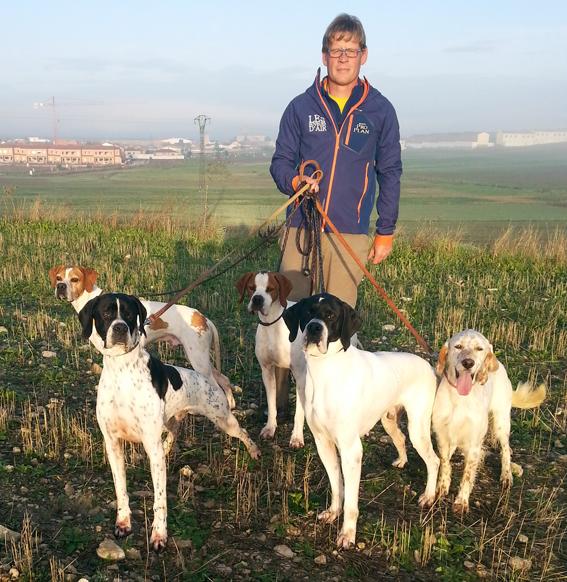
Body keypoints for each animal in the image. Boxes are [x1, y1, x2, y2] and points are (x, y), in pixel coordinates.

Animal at [48, 266, 235, 410]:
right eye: (58, 278)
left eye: (75, 279)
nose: (60, 286)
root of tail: (204, 318)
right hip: (200, 358)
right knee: (223, 379)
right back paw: (230, 404)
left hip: (198, 359)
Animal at [77, 294, 260, 556]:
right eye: (105, 313)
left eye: (129, 314)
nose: (120, 328)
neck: (122, 372)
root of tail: (206, 380)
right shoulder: (113, 444)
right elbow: (121, 489)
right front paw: (123, 523)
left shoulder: (150, 445)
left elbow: (160, 501)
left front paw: (159, 536)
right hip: (169, 422)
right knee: (174, 432)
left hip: (223, 420)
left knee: (242, 431)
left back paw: (254, 451)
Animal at [286, 296, 442, 552]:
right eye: (308, 312)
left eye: (331, 316)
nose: (314, 328)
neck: (326, 371)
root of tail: (428, 365)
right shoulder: (323, 443)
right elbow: (336, 486)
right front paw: (332, 513)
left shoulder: (351, 451)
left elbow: (350, 501)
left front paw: (347, 534)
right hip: (389, 419)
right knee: (400, 439)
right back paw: (401, 461)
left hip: (418, 428)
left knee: (434, 460)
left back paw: (428, 496)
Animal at [432, 330, 548, 512]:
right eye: (458, 346)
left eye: (479, 349)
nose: (468, 363)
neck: (461, 398)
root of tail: (498, 363)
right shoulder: (443, 436)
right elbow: (444, 464)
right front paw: (441, 489)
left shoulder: (474, 443)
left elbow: (467, 475)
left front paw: (461, 501)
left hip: (501, 422)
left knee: (506, 449)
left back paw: (506, 475)